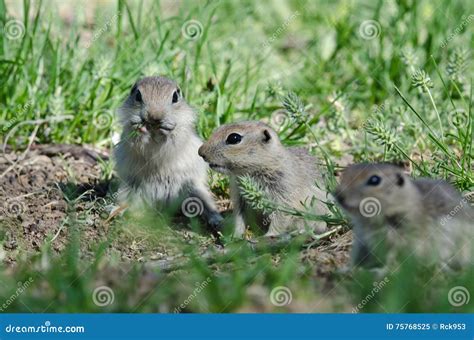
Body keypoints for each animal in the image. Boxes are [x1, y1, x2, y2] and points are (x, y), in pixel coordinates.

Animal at [115, 76, 224, 231]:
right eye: (138, 96)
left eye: (175, 97)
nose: (154, 116)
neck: (153, 129)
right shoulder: (127, 133)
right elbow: (135, 138)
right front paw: (140, 128)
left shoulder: (183, 132)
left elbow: (174, 138)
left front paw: (166, 129)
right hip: (129, 189)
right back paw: (122, 212)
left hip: (195, 189)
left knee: (207, 206)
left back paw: (217, 221)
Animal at [197, 121, 330, 238]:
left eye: (234, 138)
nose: (200, 152)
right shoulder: (240, 197)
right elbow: (239, 217)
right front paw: (235, 236)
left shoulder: (285, 192)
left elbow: (281, 217)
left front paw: (269, 235)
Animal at [336, 163, 472, 270]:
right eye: (346, 173)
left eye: (374, 180)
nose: (338, 195)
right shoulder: (363, 240)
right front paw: (346, 270)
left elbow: (392, 258)